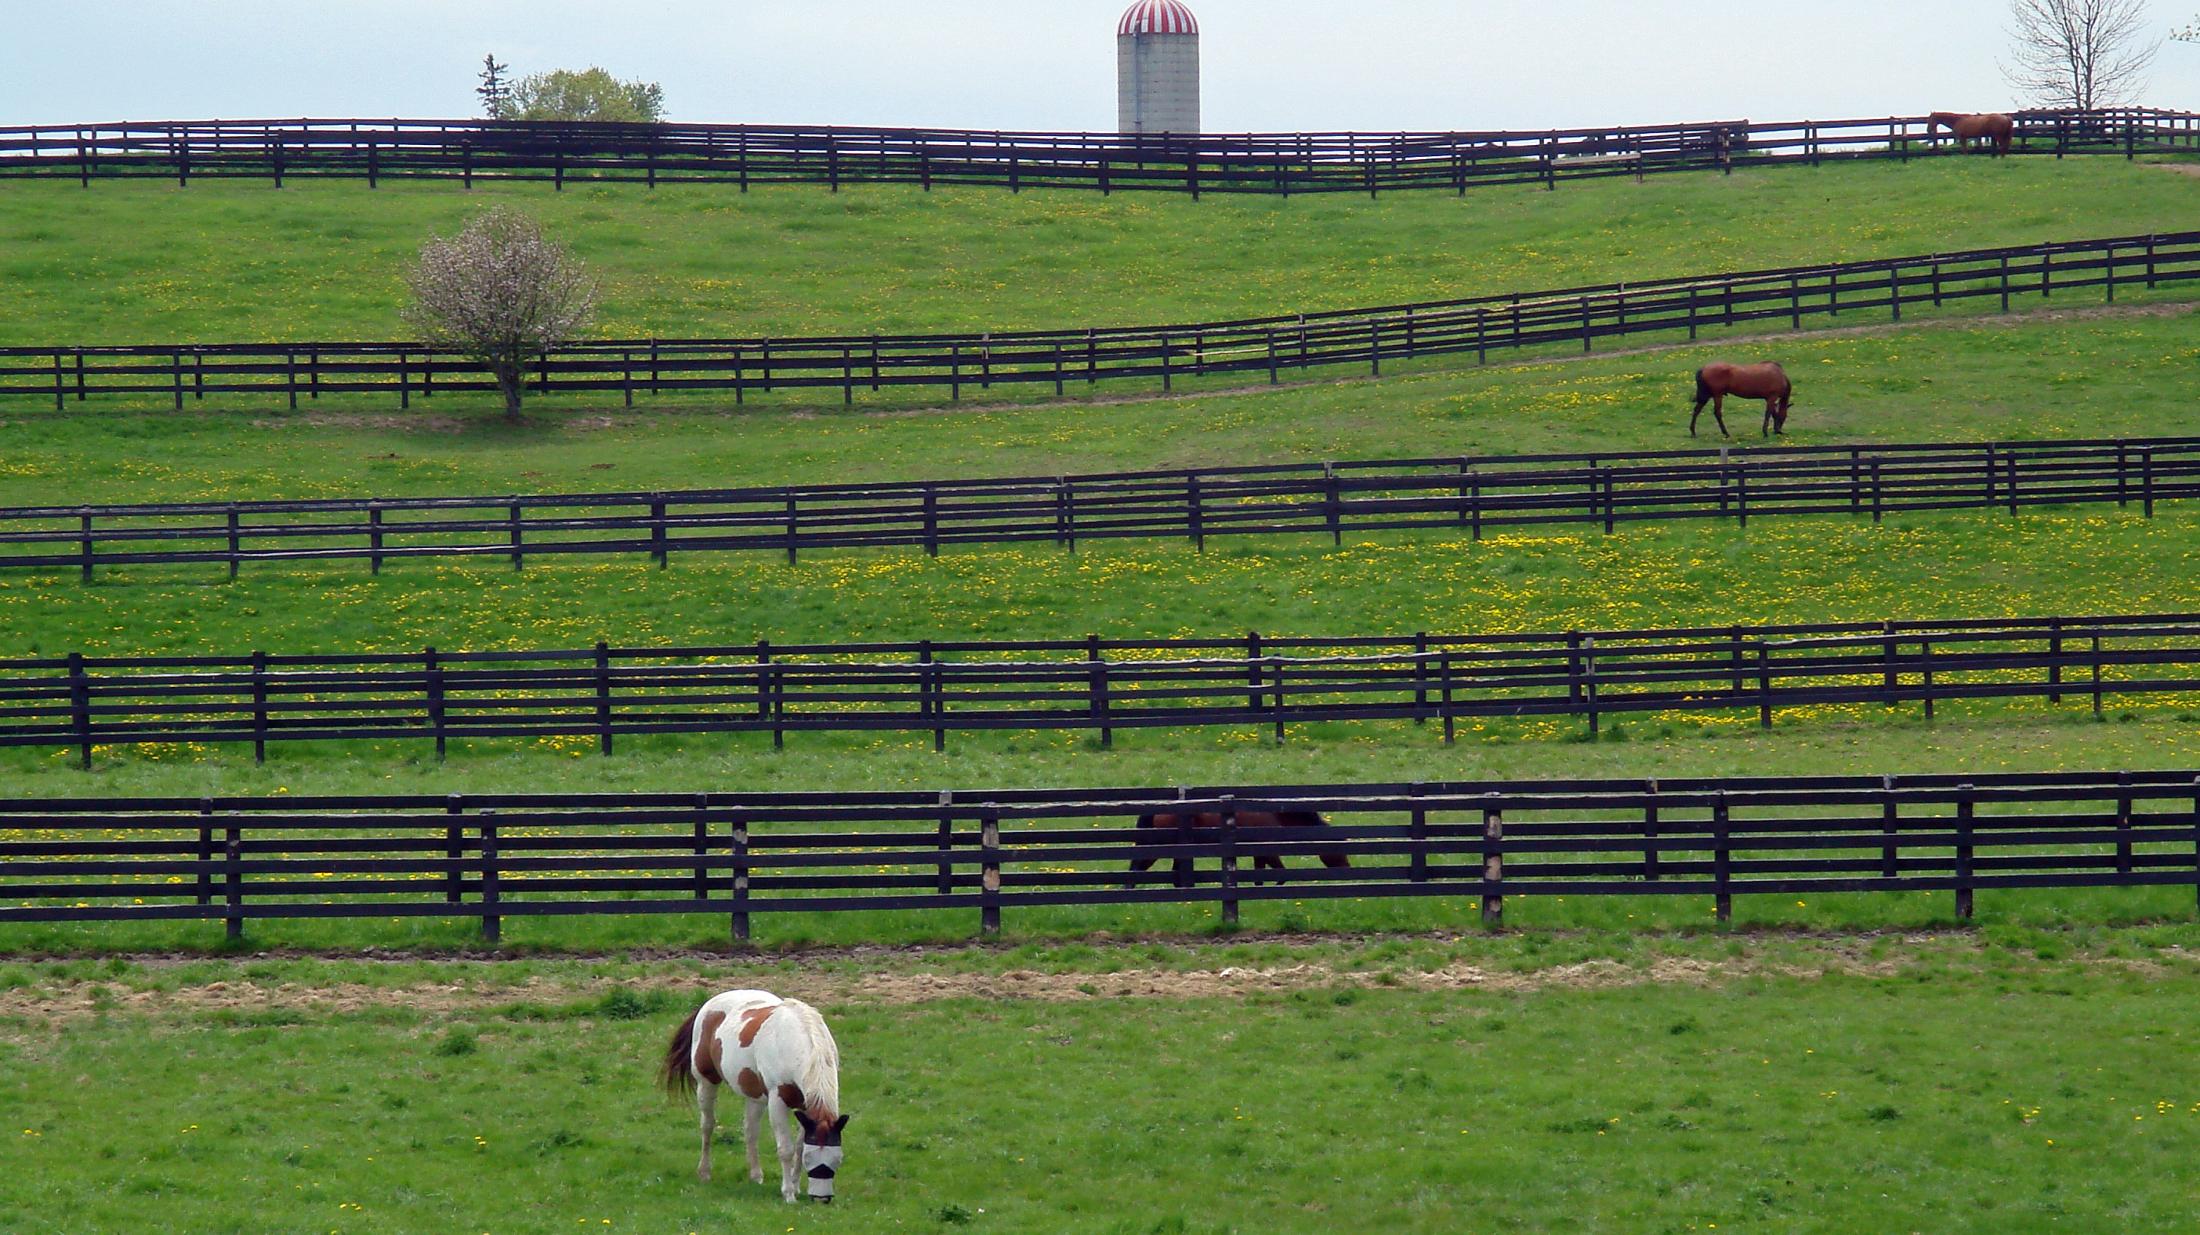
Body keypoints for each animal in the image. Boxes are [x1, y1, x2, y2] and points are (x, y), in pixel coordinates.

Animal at [660, 990, 849, 1206]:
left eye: (837, 1159)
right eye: (811, 1160)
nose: (822, 1198)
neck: (797, 1040)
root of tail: (707, 1005)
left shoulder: (805, 1106)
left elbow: (799, 1147)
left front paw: (795, 1186)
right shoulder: (777, 1102)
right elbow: (786, 1149)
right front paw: (788, 1194)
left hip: (754, 1096)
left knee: (750, 1131)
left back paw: (756, 1175)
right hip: (706, 1082)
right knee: (707, 1125)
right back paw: (705, 1172)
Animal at [1126, 805, 1346, 880]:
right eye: (1338, 848)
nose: (1346, 867)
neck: (1274, 814)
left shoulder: (1259, 853)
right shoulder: (1268, 851)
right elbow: (1281, 873)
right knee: (1136, 869)